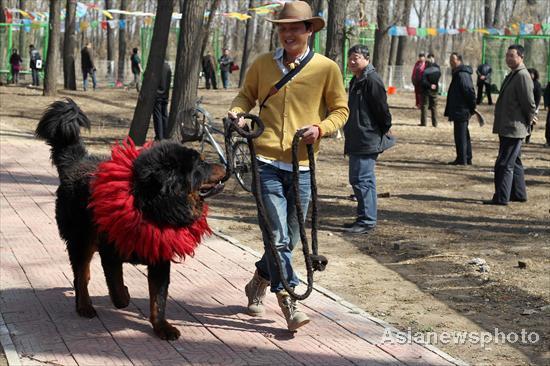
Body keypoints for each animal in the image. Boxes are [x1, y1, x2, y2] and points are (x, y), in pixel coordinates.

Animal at [36, 98, 224, 340]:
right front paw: (123, 297)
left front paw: (162, 327)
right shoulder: (110, 253)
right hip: (80, 241)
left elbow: (158, 300)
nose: (224, 164)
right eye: (200, 165)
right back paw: (84, 306)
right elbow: (116, 286)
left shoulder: (159, 257)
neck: (151, 205)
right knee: (81, 276)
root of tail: (76, 163)